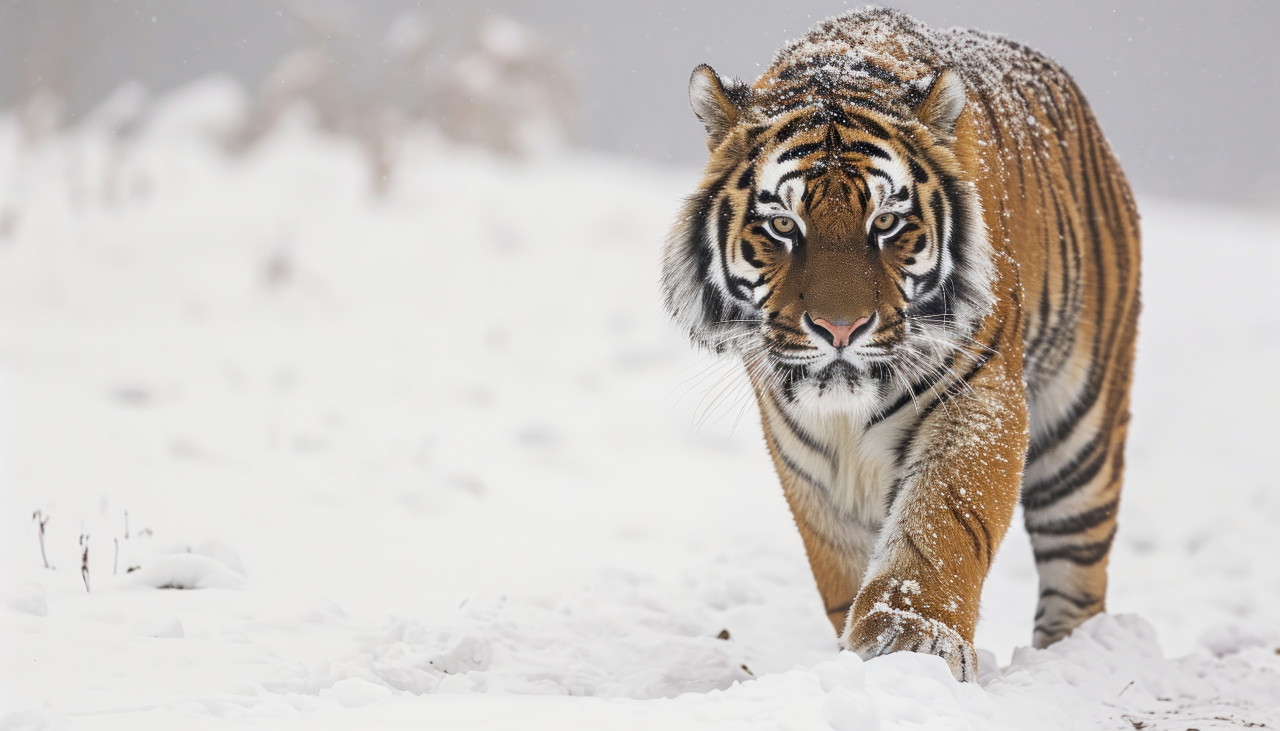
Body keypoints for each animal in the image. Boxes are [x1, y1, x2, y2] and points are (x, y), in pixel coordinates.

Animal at [661, 8, 1140, 681]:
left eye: (886, 222)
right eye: (782, 225)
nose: (840, 329)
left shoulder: (979, 397)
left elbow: (941, 523)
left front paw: (911, 639)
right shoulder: (803, 452)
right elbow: (841, 561)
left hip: (1083, 432)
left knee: (1078, 574)